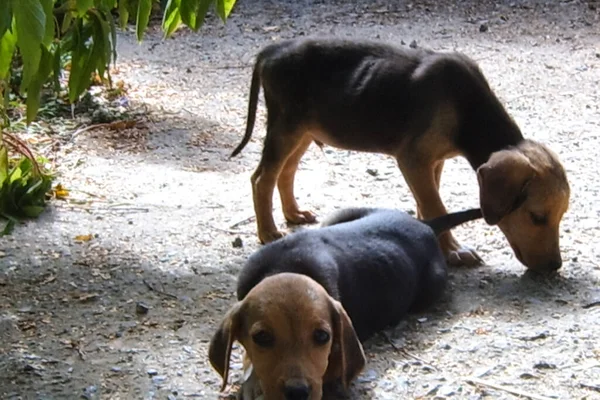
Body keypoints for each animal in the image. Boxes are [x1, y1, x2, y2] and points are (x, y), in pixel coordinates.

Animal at [231, 37, 572, 274]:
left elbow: (428, 202)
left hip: (303, 131)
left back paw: (293, 214)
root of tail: (271, 51)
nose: (554, 267)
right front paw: (453, 250)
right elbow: (435, 204)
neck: (467, 109)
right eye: (537, 217)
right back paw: (268, 231)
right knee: (262, 178)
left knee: (285, 172)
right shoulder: (413, 159)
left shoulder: (433, 161)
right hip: (286, 127)